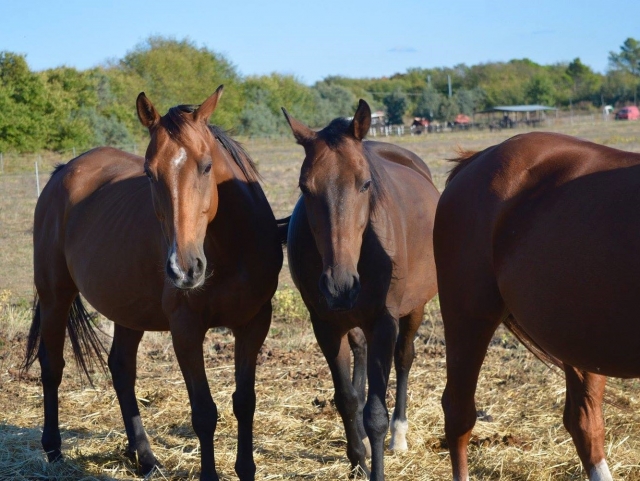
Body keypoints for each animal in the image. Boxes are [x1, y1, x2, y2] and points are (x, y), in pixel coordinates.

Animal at [22, 86, 283, 481]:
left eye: (207, 166)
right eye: (149, 173)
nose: (184, 269)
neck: (231, 249)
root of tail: (62, 172)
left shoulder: (254, 324)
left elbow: (245, 402)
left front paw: (246, 470)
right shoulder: (186, 331)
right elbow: (204, 414)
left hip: (127, 310)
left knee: (121, 370)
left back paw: (144, 457)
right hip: (55, 295)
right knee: (52, 366)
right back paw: (53, 449)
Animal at [281, 100, 439, 480]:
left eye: (366, 184)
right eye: (305, 188)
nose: (340, 286)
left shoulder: (383, 322)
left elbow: (375, 414)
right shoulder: (326, 325)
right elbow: (348, 399)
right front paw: (357, 461)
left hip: (414, 310)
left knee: (404, 358)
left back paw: (400, 434)